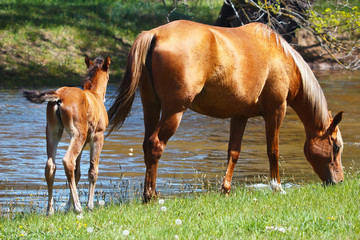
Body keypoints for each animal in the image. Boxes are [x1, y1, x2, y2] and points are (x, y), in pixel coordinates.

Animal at [23, 56, 110, 216]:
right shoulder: (97, 136)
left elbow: (77, 173)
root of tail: (59, 96)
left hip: (53, 132)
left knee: (51, 165)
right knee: (68, 161)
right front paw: (89, 206)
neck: (94, 95)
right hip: (78, 134)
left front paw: (68, 206)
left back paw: (50, 210)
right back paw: (78, 208)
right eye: (108, 76)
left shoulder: (84, 143)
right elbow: (92, 171)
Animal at [107, 20, 344, 201]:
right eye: (336, 146)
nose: (339, 181)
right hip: (174, 110)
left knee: (147, 145)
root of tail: (154, 34)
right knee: (156, 145)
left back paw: (152, 193)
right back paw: (150, 197)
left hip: (151, 106)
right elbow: (273, 150)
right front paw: (277, 187)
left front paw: (226, 189)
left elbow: (234, 153)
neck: (280, 57)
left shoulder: (240, 116)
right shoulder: (276, 110)